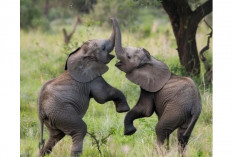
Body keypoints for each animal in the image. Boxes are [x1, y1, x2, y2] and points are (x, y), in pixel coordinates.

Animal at [37, 21, 130, 157]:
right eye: (103, 48)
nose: (112, 18)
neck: (82, 54)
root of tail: (40, 112)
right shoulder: (92, 78)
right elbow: (103, 95)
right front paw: (124, 109)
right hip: (62, 112)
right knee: (80, 130)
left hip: (53, 118)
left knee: (54, 137)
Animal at [110, 18, 201, 152]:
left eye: (129, 57)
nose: (112, 19)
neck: (151, 59)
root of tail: (195, 107)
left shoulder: (149, 88)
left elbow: (145, 109)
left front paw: (129, 132)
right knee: (182, 136)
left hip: (176, 109)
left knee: (161, 130)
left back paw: (161, 152)